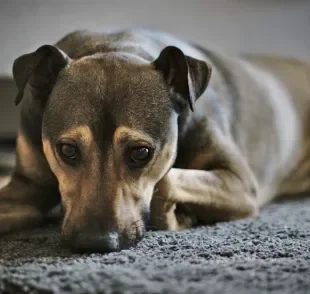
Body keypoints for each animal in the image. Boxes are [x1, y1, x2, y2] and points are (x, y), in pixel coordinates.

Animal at [0, 29, 310, 253]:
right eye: (67, 150)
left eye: (141, 153)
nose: (94, 242)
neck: (116, 46)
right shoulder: (26, 187)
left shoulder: (241, 183)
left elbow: (167, 181)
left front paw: (179, 217)